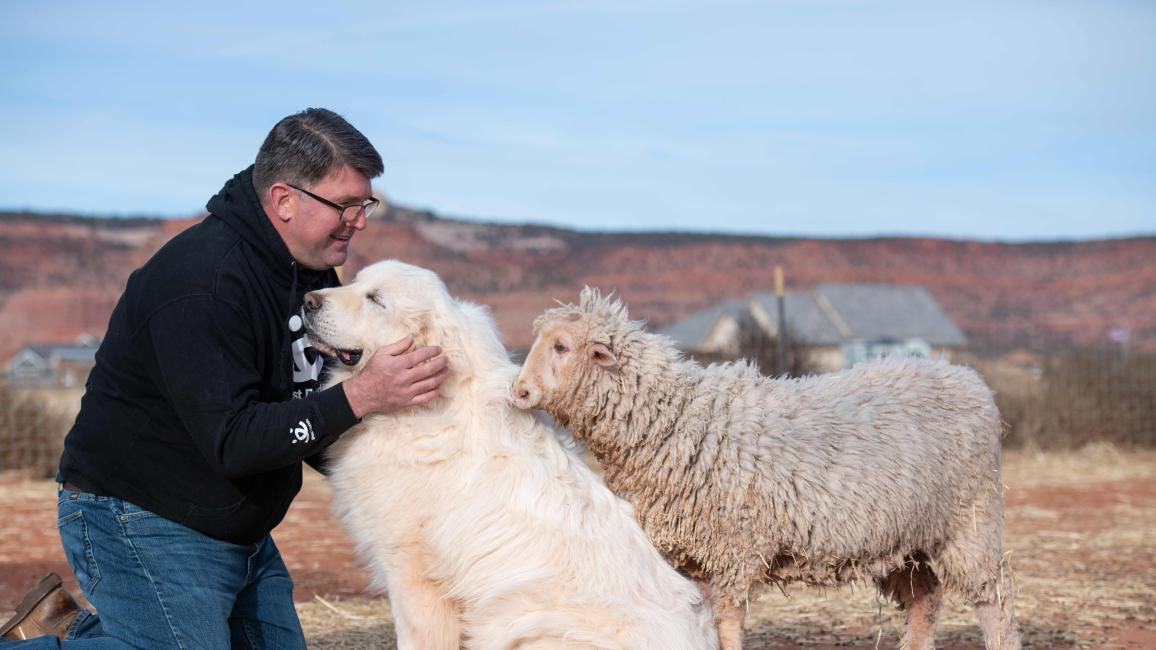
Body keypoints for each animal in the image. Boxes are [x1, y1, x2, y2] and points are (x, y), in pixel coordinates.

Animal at [512, 288, 1021, 650]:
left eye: (561, 347)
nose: (518, 392)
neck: (676, 421)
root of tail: (969, 379)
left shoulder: (733, 550)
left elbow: (727, 625)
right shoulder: (694, 554)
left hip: (970, 525)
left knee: (995, 602)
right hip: (903, 538)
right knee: (925, 602)